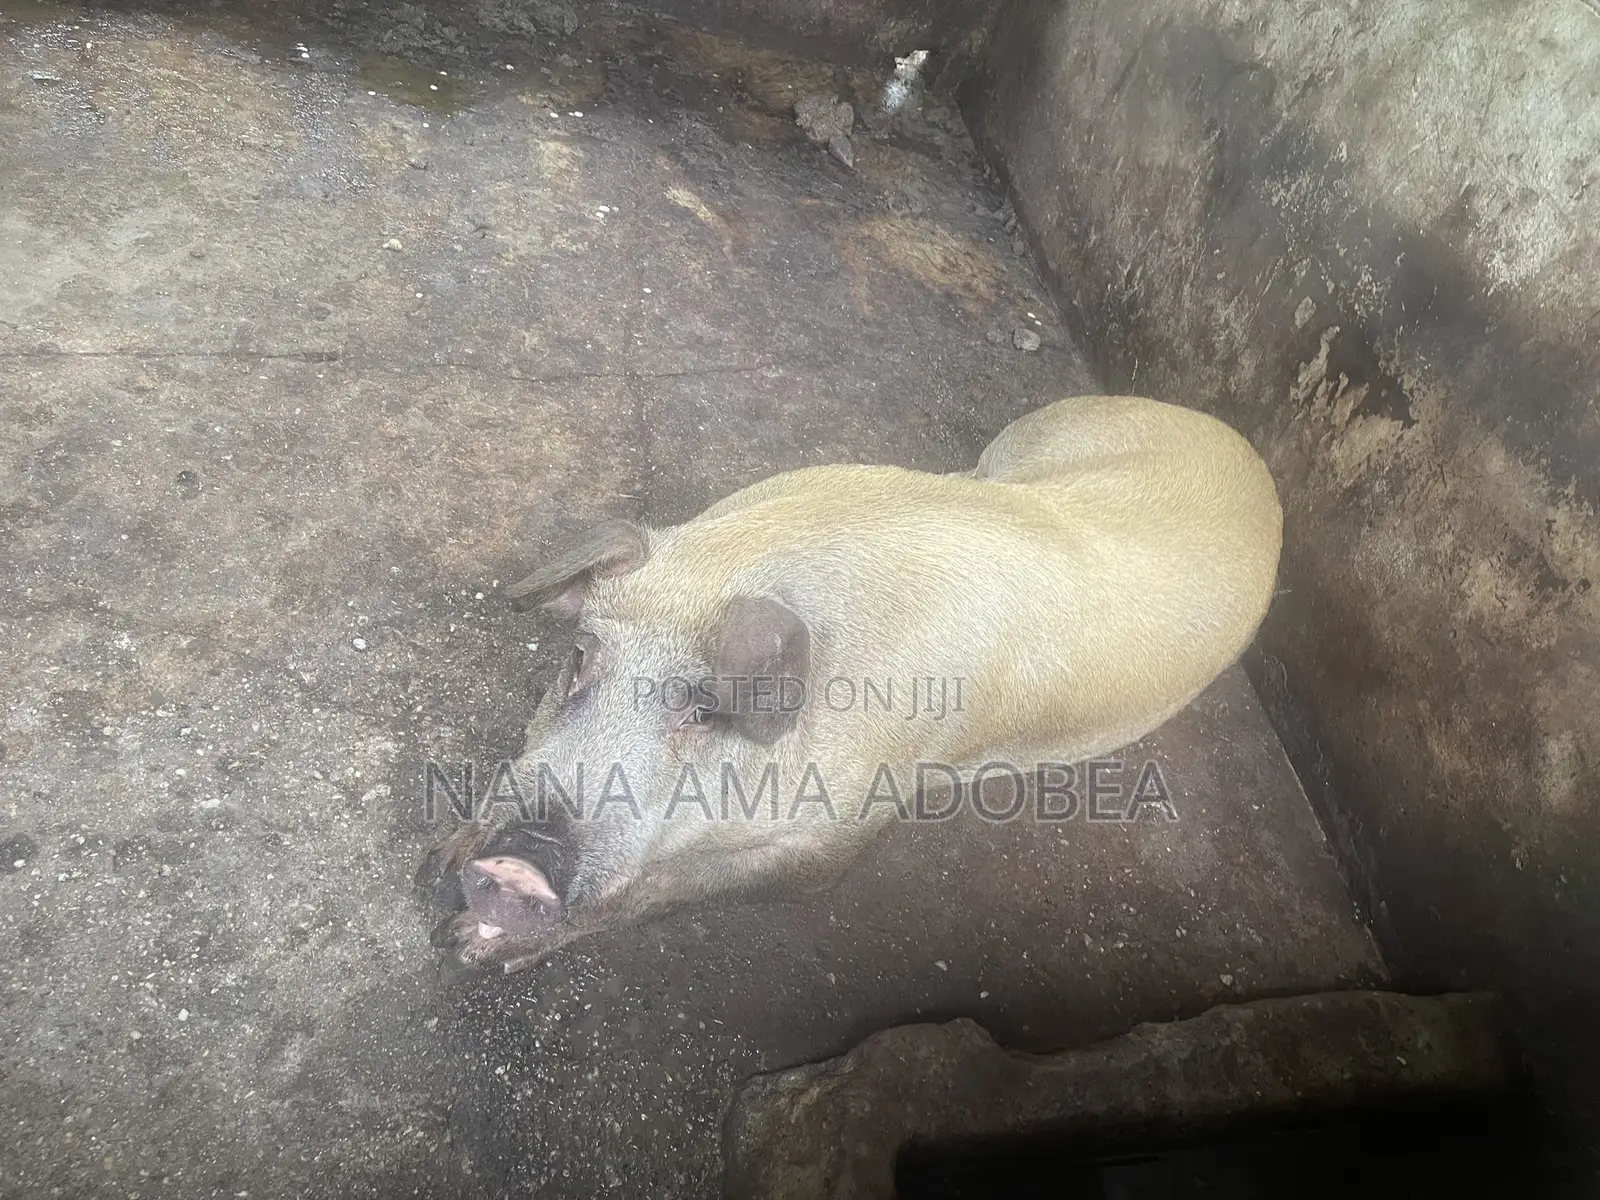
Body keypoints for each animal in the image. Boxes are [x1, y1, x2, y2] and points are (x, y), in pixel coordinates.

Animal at [417, 394, 1283, 974]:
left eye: (704, 711)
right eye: (580, 657)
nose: (517, 864)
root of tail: (1247, 454)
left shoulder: (848, 827)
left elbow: (677, 888)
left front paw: (463, 946)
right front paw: (438, 860)